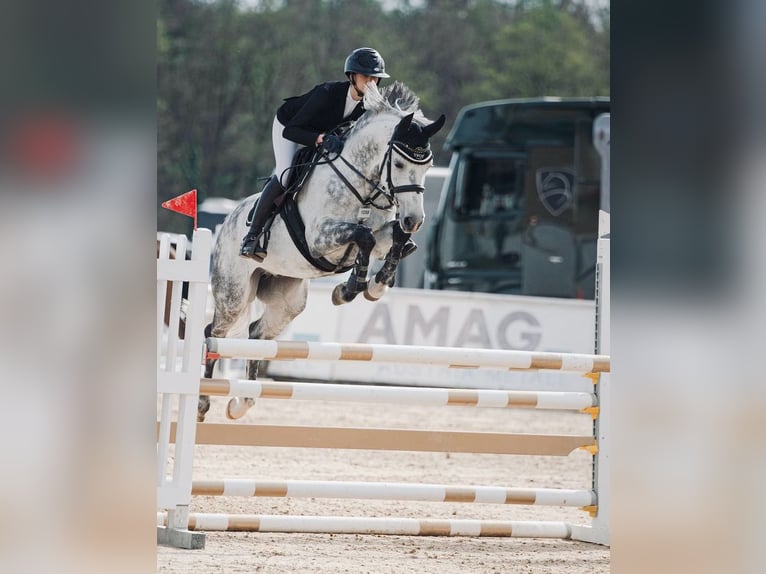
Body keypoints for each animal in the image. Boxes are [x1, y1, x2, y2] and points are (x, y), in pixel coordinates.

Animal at [201, 81, 448, 420]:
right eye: (398, 164)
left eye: (429, 165)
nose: (415, 220)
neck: (364, 187)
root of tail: (227, 222)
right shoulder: (320, 238)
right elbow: (363, 237)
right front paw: (350, 288)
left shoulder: (381, 235)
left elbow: (394, 239)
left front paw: (376, 284)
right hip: (234, 294)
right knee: (214, 332)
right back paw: (202, 402)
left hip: (288, 300)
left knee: (257, 333)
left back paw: (242, 402)